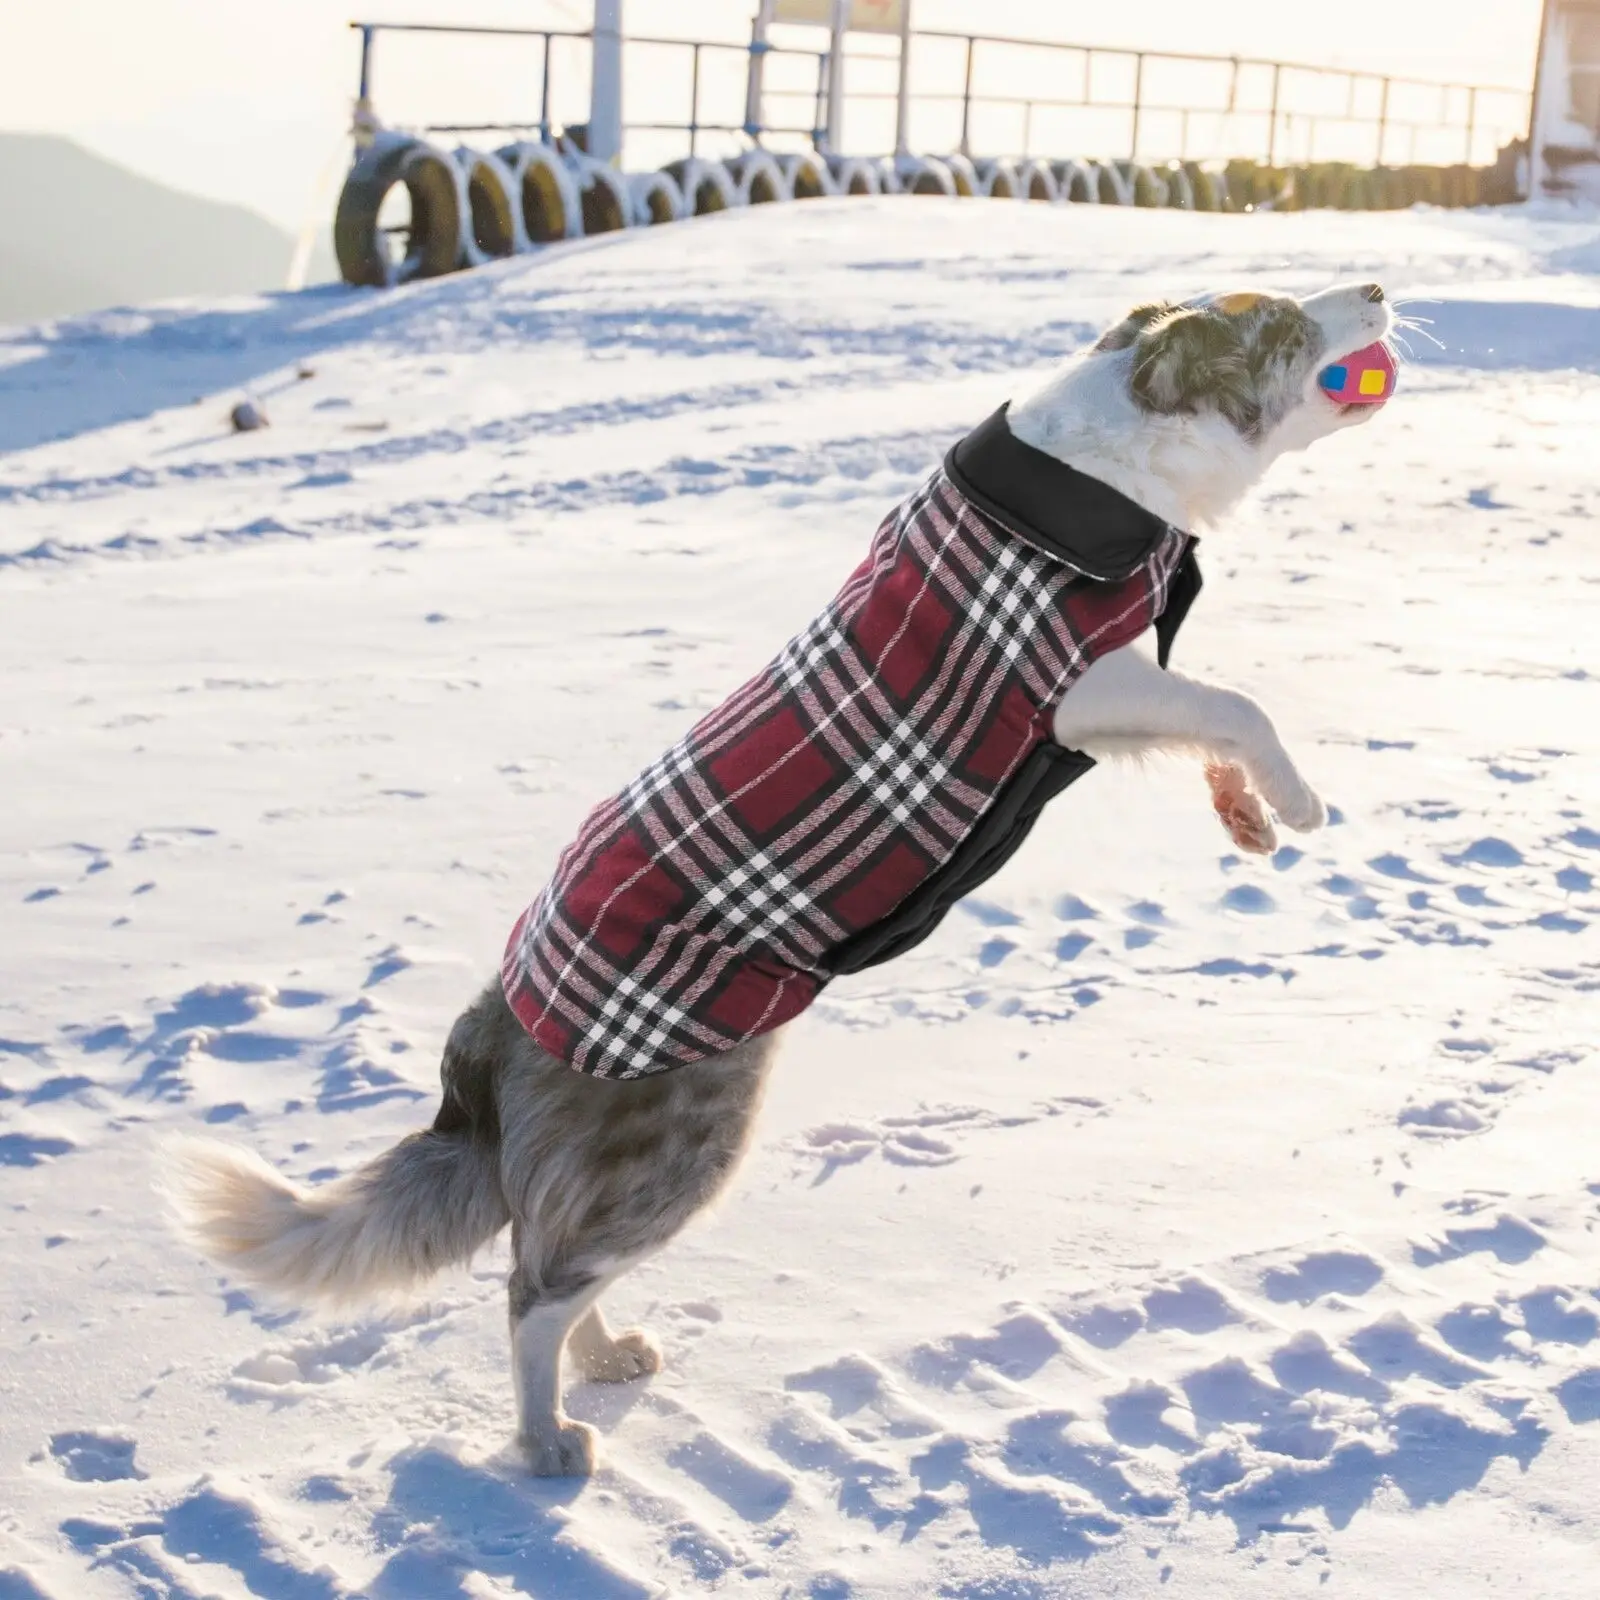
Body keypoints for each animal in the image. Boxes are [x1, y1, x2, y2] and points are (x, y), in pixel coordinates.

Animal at [172, 284, 1388, 1472]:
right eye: (1283, 323)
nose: (1376, 288)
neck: (1100, 469)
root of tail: (497, 1019)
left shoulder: (1111, 700)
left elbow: (1213, 723)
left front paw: (1248, 813)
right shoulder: (1079, 686)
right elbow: (1237, 701)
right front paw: (1300, 800)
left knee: (552, 1255)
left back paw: (603, 1359)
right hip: (682, 1132)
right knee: (530, 1287)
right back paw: (545, 1441)